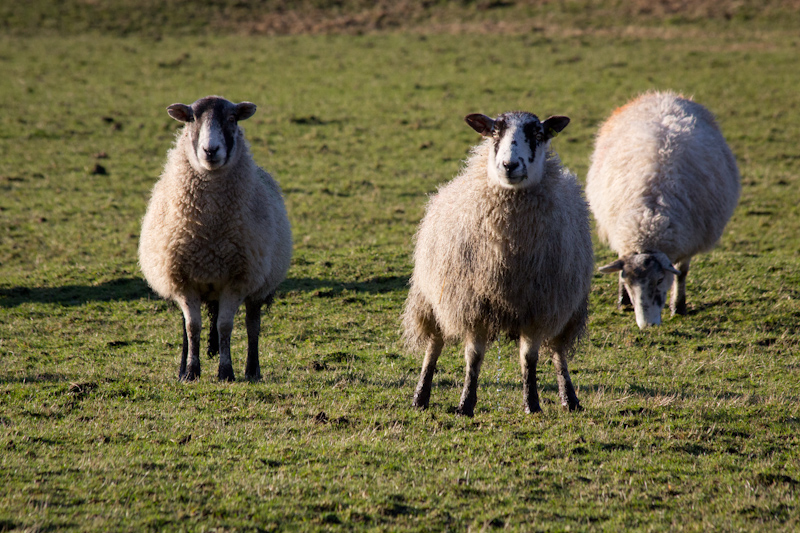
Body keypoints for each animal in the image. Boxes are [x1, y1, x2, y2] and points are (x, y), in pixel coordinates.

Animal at [139, 95, 292, 381]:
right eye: (191, 119)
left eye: (232, 119)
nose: (210, 150)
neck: (208, 230)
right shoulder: (182, 280)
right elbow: (192, 328)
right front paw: (190, 371)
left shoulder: (237, 280)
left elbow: (225, 327)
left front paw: (226, 371)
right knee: (187, 328)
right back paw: (182, 369)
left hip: (258, 285)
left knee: (252, 325)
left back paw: (252, 370)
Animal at [402, 110, 594, 416]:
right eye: (494, 132)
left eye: (538, 134)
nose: (509, 165)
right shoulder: (474, 304)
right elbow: (473, 357)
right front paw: (465, 404)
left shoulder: (537, 307)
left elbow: (529, 358)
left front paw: (532, 404)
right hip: (432, 299)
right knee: (434, 345)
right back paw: (420, 397)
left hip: (565, 307)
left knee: (558, 350)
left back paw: (570, 397)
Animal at [586, 91, 740, 329]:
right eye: (628, 281)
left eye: (659, 279)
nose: (647, 325)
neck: (649, 220)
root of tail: (662, 95)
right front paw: (623, 299)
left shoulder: (689, 239)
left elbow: (681, 273)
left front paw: (678, 307)